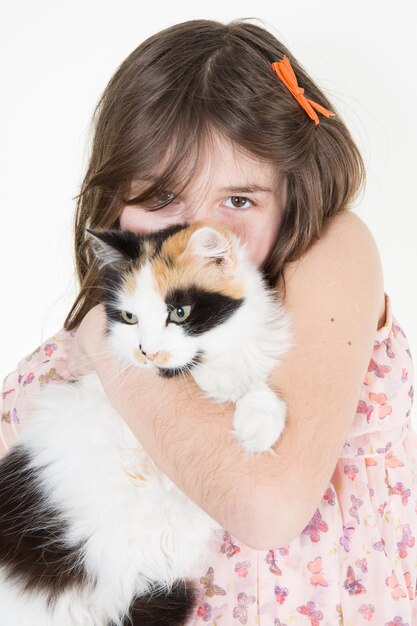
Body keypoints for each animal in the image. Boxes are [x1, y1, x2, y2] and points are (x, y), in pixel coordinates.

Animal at [0, 222, 292, 620]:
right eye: (130, 318)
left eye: (180, 313)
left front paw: (257, 423)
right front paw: (224, 381)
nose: (148, 352)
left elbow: (255, 388)